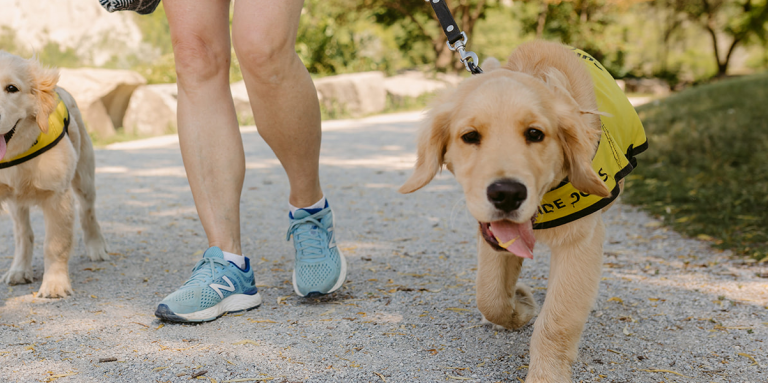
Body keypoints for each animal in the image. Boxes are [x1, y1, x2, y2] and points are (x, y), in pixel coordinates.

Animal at [0, 51, 109, 298]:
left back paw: (96, 246)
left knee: (88, 212)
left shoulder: (58, 196)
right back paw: (19, 269)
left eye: (12, 88)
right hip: (15, 202)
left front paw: (55, 284)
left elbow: (55, 244)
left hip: (84, 176)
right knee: (23, 233)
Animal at [402, 40, 648, 382]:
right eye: (470, 136)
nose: (507, 194)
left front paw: (546, 374)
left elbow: (557, 321)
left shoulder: (580, 240)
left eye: (535, 134)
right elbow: (490, 294)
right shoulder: (493, 236)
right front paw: (519, 305)